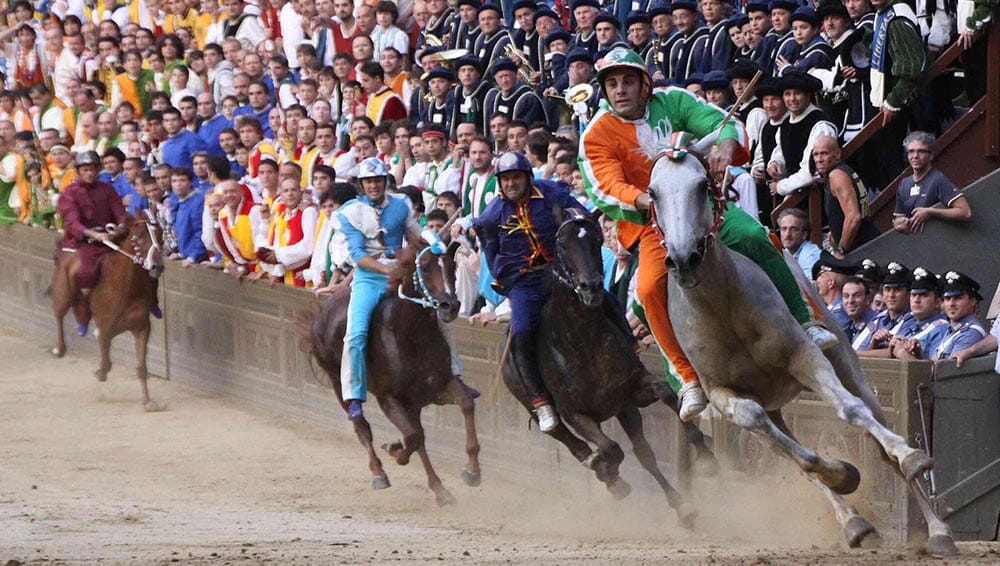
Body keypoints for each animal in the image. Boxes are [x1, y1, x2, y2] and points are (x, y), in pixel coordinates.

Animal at [49, 214, 164, 412]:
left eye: (160, 235)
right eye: (139, 236)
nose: (157, 266)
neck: (125, 287)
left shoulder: (142, 327)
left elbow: (141, 367)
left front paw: (148, 401)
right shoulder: (105, 328)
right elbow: (106, 360)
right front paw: (100, 373)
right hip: (63, 292)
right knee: (58, 313)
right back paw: (59, 348)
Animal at [306, 242, 482, 508]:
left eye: (452, 267)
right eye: (425, 267)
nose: (449, 306)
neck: (410, 334)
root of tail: (323, 310)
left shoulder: (437, 387)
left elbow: (466, 404)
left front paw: (472, 470)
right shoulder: (389, 398)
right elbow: (412, 437)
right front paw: (394, 450)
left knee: (419, 437)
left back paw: (439, 489)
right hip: (339, 382)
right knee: (363, 427)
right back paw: (379, 473)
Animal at [500, 209, 712, 528]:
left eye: (597, 239)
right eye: (562, 244)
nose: (591, 288)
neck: (582, 341)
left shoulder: (631, 390)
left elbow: (663, 393)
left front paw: (705, 452)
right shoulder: (575, 413)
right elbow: (611, 448)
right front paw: (604, 466)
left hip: (623, 409)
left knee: (644, 454)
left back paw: (681, 506)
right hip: (534, 406)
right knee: (570, 441)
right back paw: (605, 471)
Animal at [644, 134, 956, 560]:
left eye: (701, 185)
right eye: (653, 193)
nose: (683, 259)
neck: (722, 306)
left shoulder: (803, 356)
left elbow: (850, 410)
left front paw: (906, 457)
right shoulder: (725, 396)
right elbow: (795, 454)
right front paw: (843, 475)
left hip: (847, 364)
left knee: (876, 435)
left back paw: (937, 528)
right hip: (769, 405)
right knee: (783, 444)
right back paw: (853, 521)